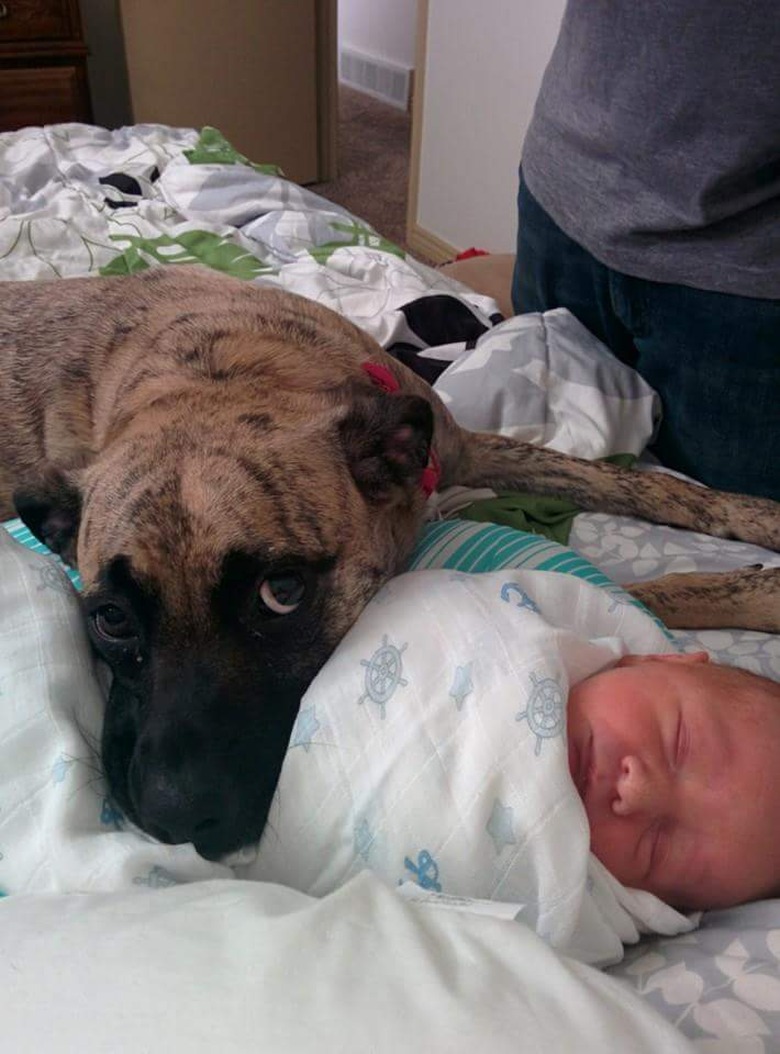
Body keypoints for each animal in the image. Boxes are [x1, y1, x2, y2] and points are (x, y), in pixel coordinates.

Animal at [1, 267, 780, 860]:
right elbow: (641, 588)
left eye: (281, 591)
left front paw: (755, 520)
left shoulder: (467, 449)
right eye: (110, 620)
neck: (233, 371)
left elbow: (642, 485)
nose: (174, 818)